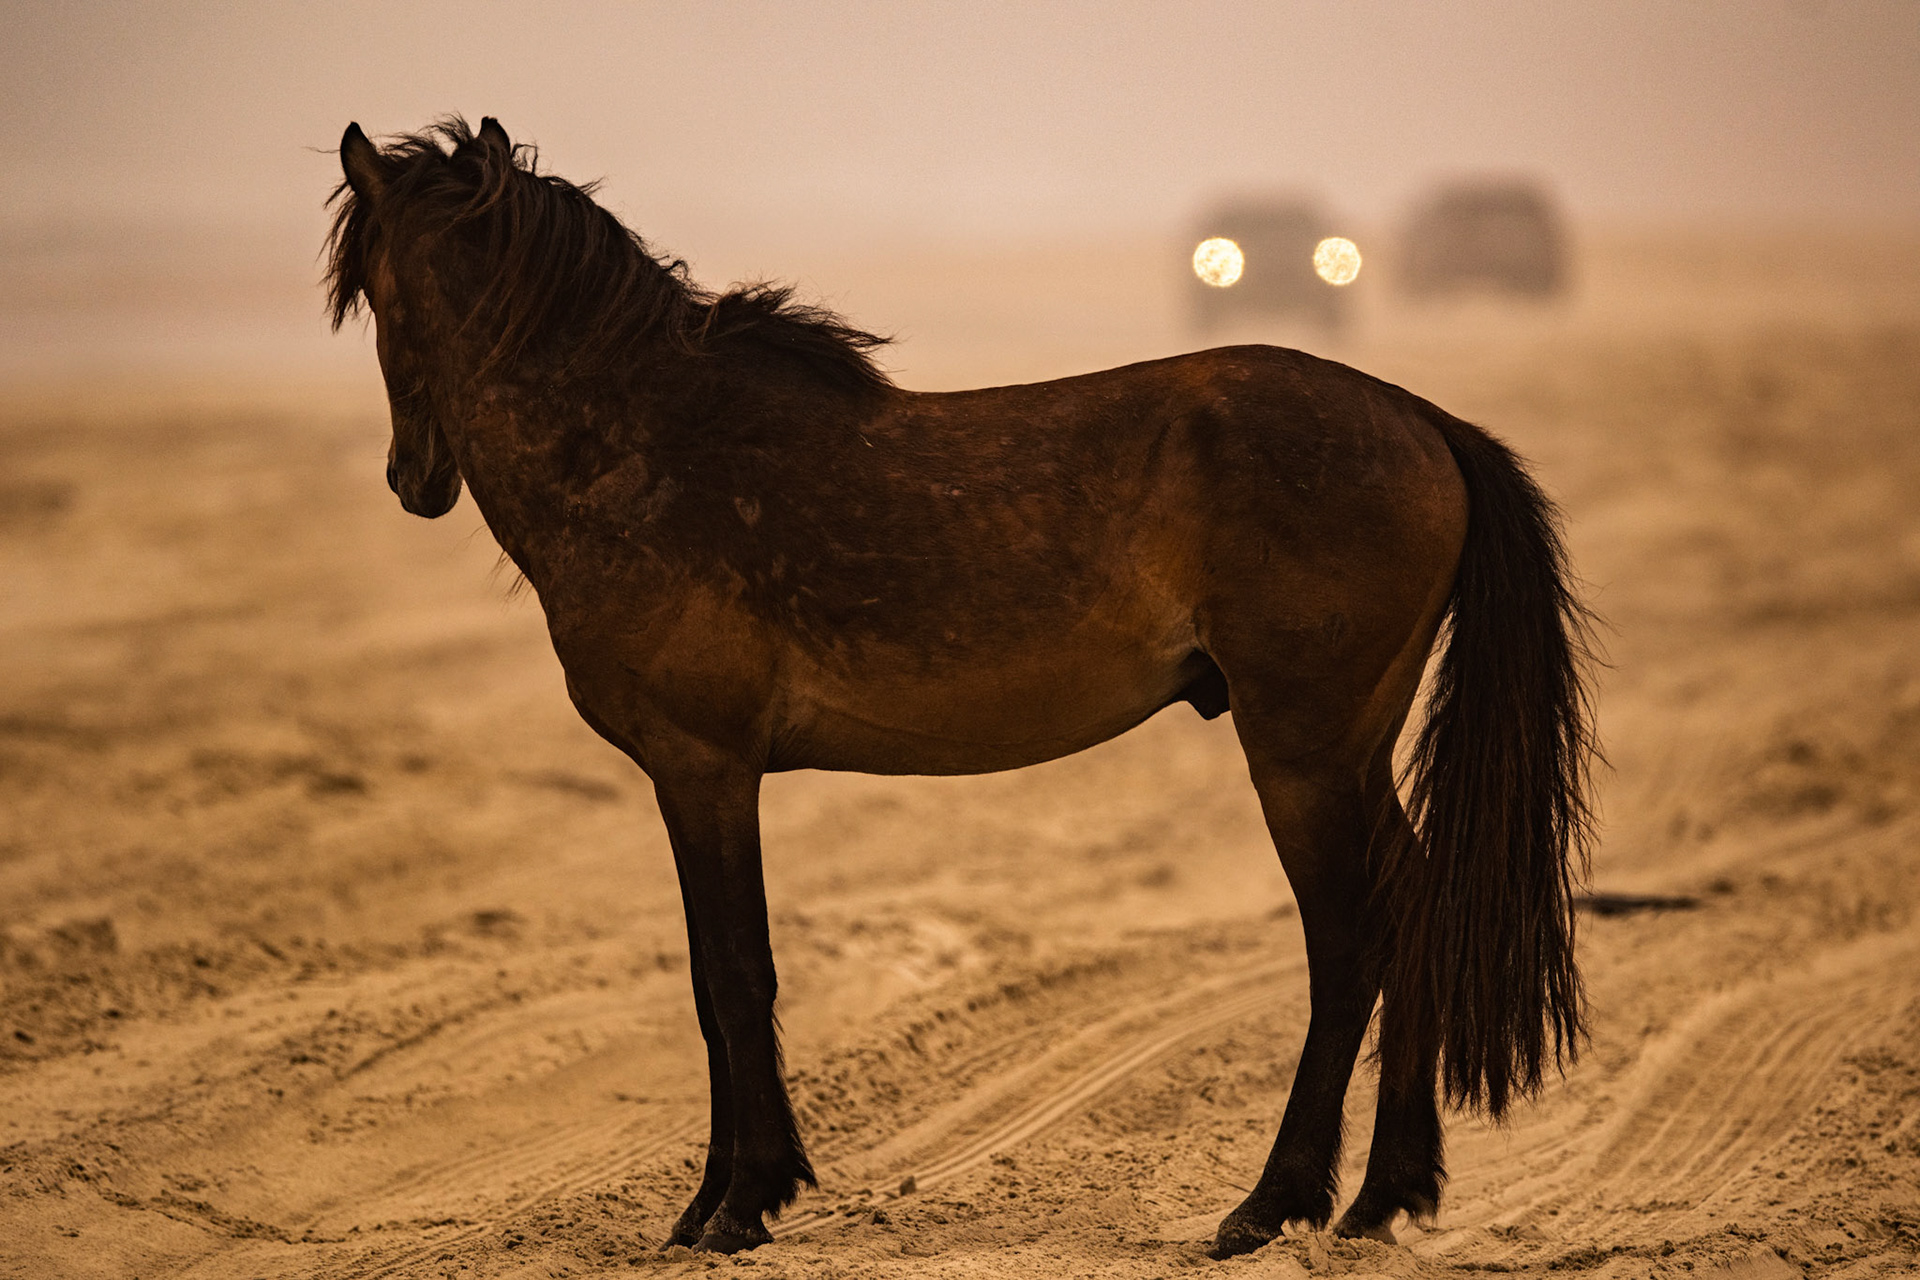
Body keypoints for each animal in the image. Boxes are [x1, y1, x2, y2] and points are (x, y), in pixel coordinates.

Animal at [326, 116, 1597, 1258]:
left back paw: (1269, 1204)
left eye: (377, 293)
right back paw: (1383, 1196)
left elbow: (731, 974)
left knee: (1350, 939)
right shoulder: (700, 776)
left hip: (1303, 750)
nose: (409, 477)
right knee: (1417, 905)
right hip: (1352, 746)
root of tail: (1423, 421)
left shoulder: (704, 767)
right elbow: (715, 977)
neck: (648, 448)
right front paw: (723, 1198)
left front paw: (736, 1203)